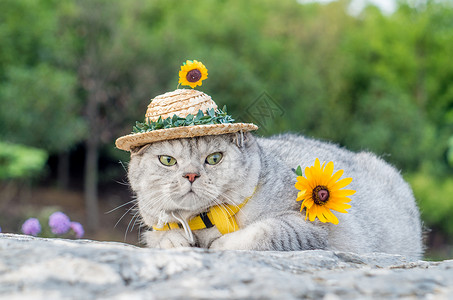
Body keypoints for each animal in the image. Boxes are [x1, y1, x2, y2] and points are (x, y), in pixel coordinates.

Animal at [127, 132, 424, 258]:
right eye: (167, 161)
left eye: (214, 158)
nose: (190, 175)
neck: (205, 220)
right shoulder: (156, 223)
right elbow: (157, 235)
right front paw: (174, 240)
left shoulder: (309, 225)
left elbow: (262, 233)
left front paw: (218, 244)